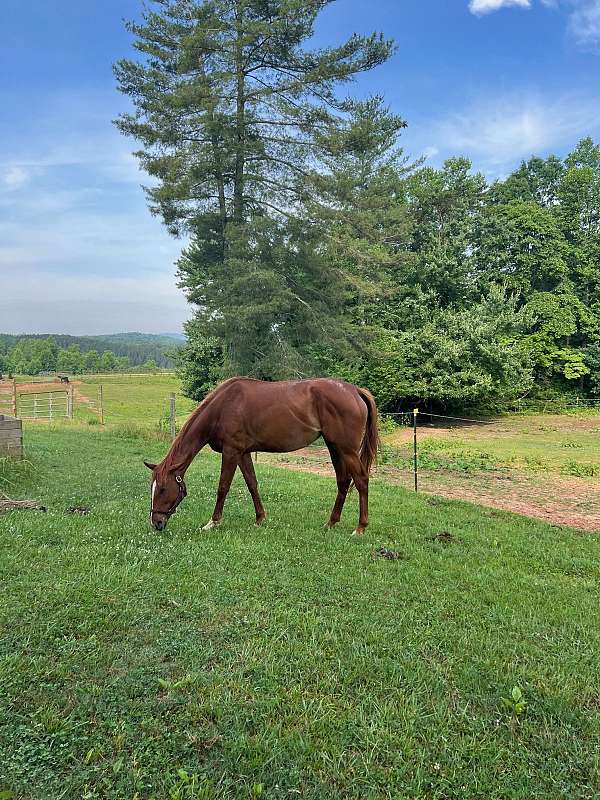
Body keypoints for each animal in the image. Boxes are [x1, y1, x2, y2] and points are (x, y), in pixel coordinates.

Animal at [145, 378, 378, 536]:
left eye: (163, 489)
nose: (156, 522)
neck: (223, 406)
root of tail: (354, 390)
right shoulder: (242, 453)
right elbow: (252, 484)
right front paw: (259, 519)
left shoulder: (231, 452)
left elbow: (223, 487)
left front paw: (213, 522)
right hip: (334, 447)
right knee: (343, 481)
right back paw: (331, 522)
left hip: (346, 450)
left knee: (361, 480)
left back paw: (360, 527)